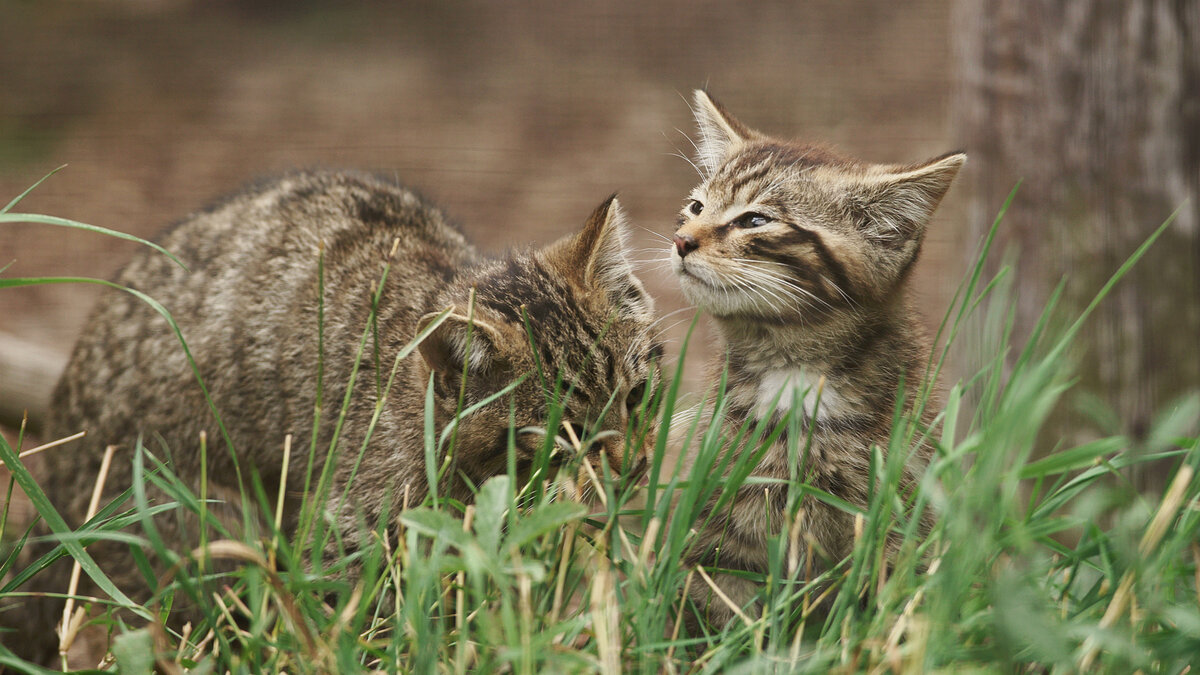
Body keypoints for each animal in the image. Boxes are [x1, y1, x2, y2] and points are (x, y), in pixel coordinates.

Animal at [672, 91, 960, 629]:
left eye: (755, 220)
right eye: (696, 207)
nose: (680, 240)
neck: (793, 376)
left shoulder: (897, 526)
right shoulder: (715, 541)